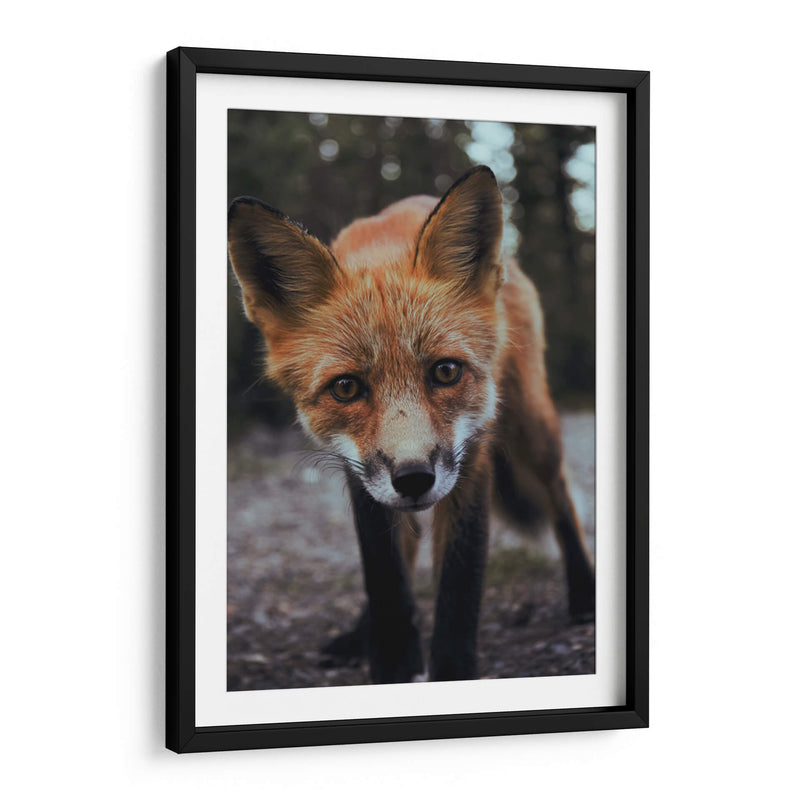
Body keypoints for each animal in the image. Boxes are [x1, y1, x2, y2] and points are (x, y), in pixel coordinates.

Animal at [228, 166, 595, 684]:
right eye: (346, 388)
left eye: (446, 372)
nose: (415, 478)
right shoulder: (359, 471)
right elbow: (384, 575)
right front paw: (393, 662)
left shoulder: (471, 456)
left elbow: (459, 584)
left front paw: (452, 669)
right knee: (410, 542)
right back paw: (359, 634)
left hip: (531, 424)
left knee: (560, 496)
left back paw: (584, 592)